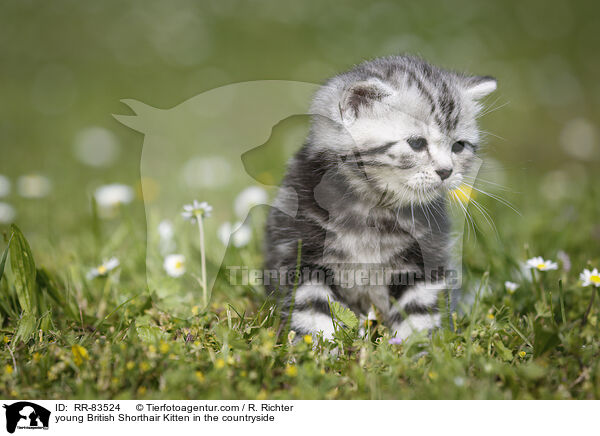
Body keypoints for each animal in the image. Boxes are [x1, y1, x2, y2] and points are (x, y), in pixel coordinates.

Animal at [264, 55, 496, 340]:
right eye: (417, 143)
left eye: (459, 146)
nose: (446, 171)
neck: (371, 207)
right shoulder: (301, 255)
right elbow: (314, 313)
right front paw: (319, 349)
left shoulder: (425, 260)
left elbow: (419, 314)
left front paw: (417, 349)